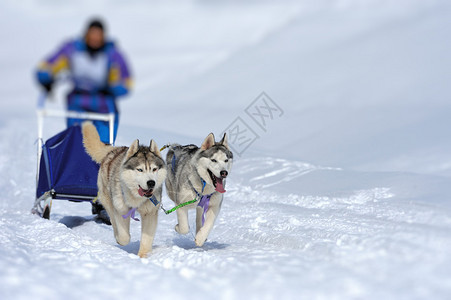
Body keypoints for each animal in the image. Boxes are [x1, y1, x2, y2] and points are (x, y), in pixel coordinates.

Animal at [82, 122, 167, 258]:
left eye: (154, 169)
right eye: (140, 170)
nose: (151, 183)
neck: (136, 198)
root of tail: (115, 149)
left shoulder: (150, 213)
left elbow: (146, 239)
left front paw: (143, 256)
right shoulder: (121, 210)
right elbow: (124, 237)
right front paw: (120, 239)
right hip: (108, 201)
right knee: (112, 218)